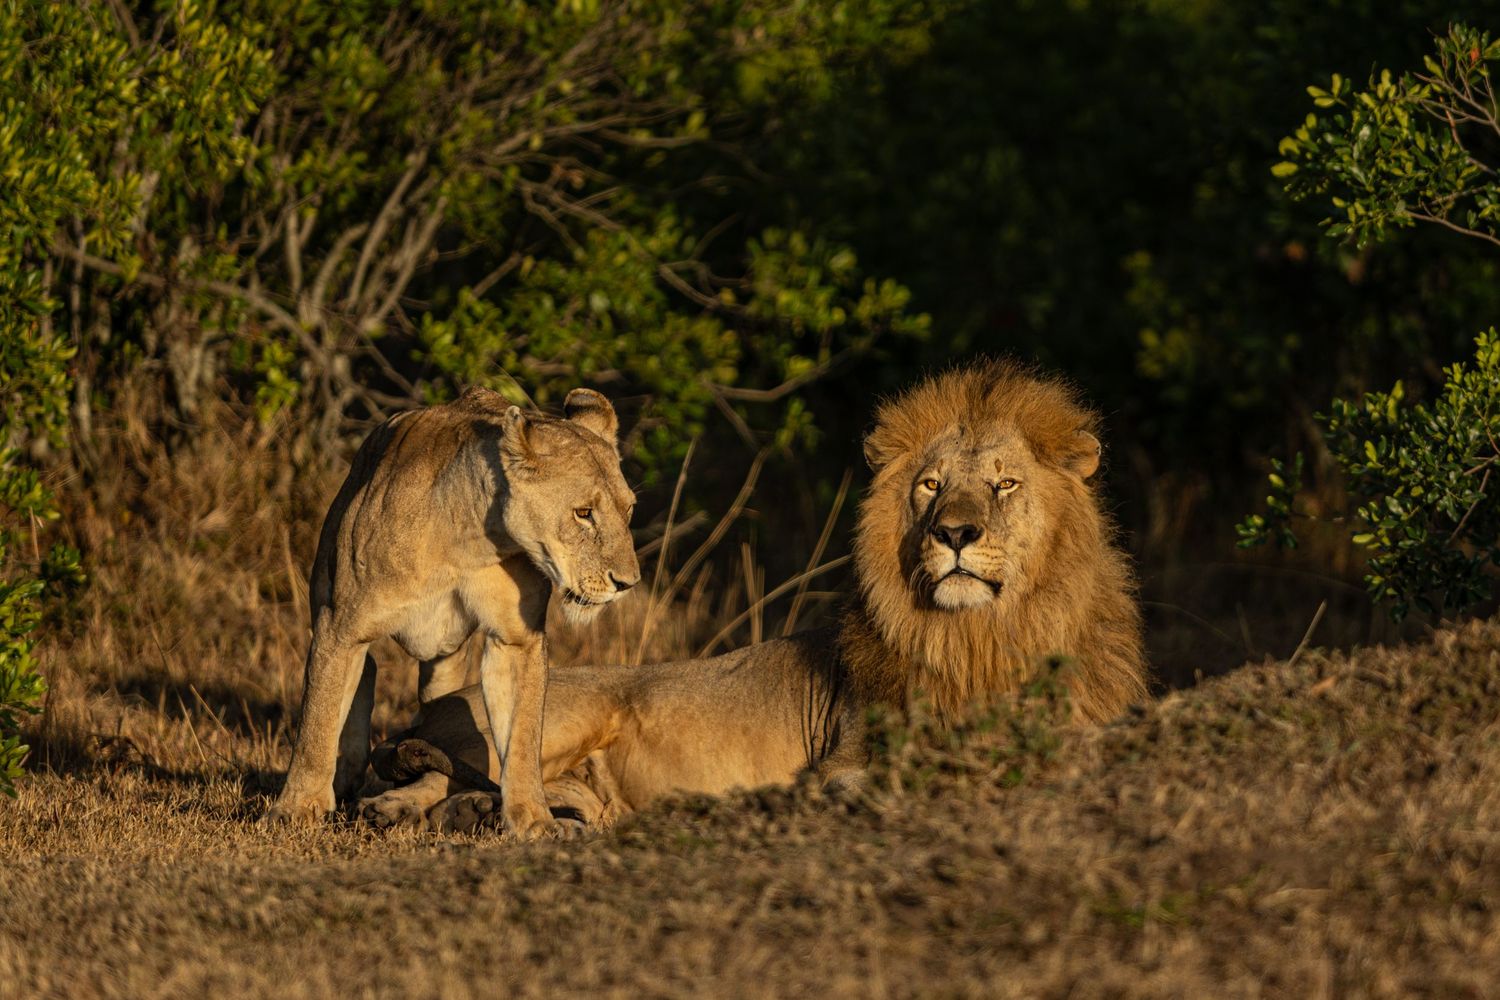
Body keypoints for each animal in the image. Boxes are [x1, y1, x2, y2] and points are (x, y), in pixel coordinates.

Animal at [266, 385, 640, 838]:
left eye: (629, 510)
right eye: (583, 513)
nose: (627, 582)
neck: (471, 539)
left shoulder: (516, 640)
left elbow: (523, 737)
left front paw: (534, 820)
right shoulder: (342, 626)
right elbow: (316, 720)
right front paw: (296, 809)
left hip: (444, 662)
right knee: (361, 674)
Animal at [357, 360, 1147, 831]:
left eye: (1004, 483)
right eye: (930, 485)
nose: (954, 531)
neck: (977, 637)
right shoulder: (847, 757)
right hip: (559, 717)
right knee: (441, 776)